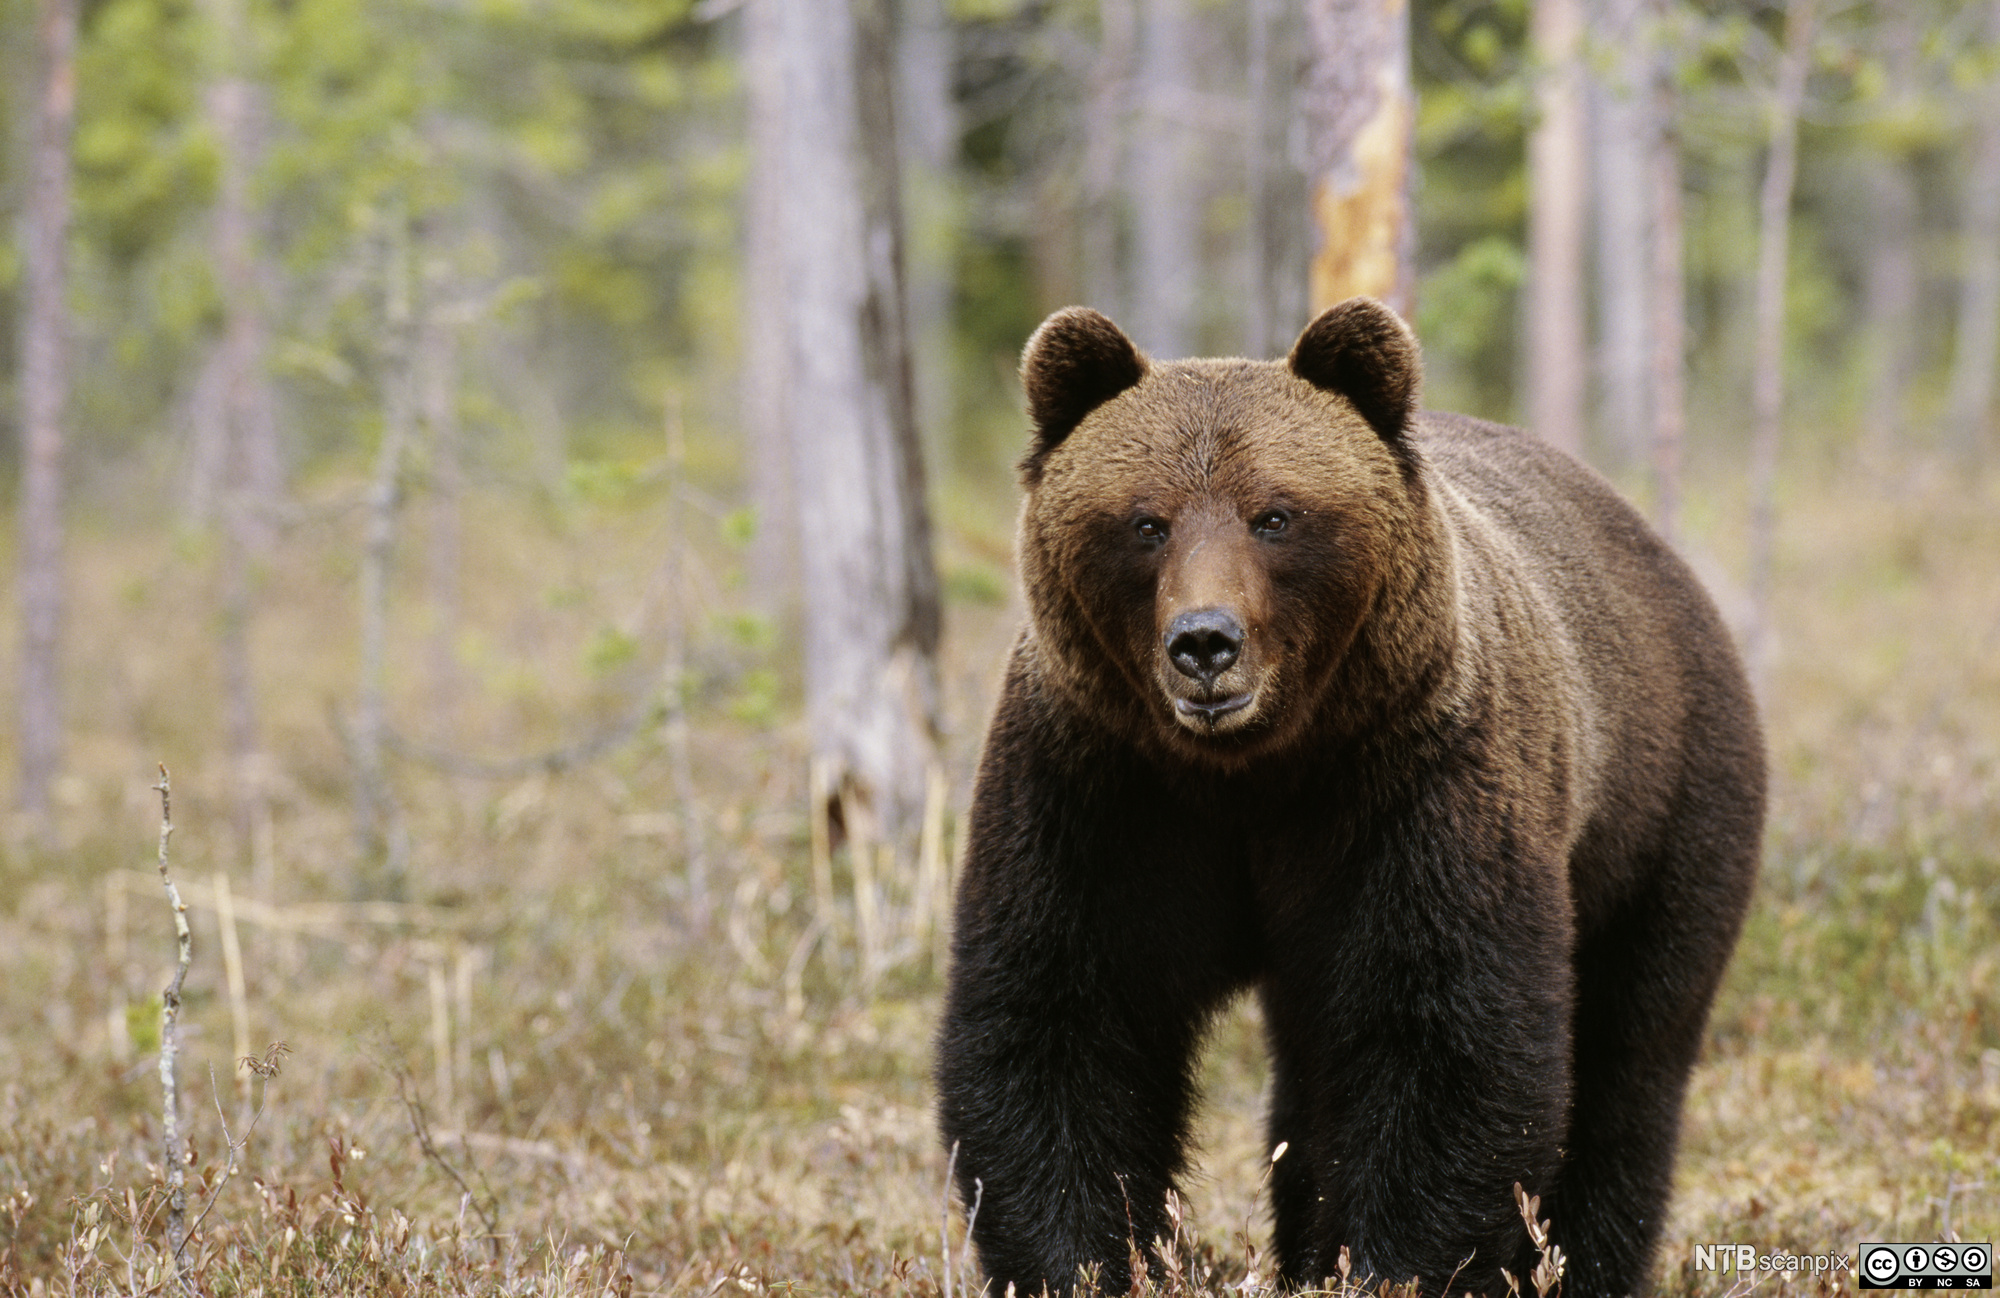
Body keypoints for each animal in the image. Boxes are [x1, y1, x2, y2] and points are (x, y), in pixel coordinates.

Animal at [928, 298, 1760, 1296]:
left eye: (1275, 515)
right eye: (1145, 522)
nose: (1204, 643)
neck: (1250, 768)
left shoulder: (1412, 784)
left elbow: (1441, 1037)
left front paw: (1391, 1264)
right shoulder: (1101, 788)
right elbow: (1063, 1021)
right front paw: (1090, 1261)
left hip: (1660, 815)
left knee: (1626, 1055)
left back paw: (1582, 1257)